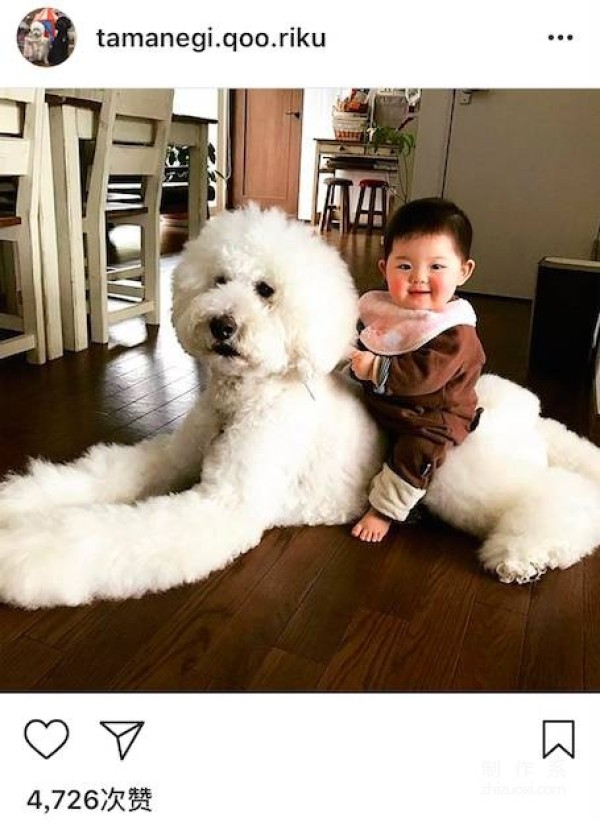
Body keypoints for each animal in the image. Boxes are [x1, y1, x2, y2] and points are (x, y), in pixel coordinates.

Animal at [0, 206, 596, 608]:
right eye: (219, 280)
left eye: (266, 290)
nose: (222, 326)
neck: (246, 398)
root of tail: (530, 413)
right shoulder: (170, 456)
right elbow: (100, 476)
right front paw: (19, 505)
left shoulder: (226, 504)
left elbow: (102, 535)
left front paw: (21, 551)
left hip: (459, 474)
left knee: (564, 497)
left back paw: (523, 557)